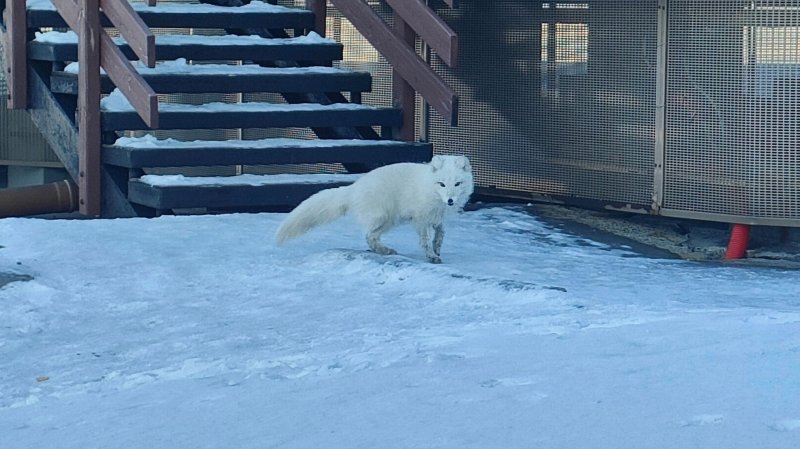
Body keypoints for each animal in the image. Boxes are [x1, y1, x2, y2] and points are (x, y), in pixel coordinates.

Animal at [276, 155, 476, 262]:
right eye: (441, 184)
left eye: (457, 184)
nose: (450, 200)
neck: (429, 189)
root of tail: (354, 187)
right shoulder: (421, 219)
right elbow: (425, 241)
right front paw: (431, 256)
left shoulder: (437, 218)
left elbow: (441, 234)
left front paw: (437, 248)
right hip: (383, 218)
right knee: (368, 236)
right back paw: (386, 251)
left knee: (370, 237)